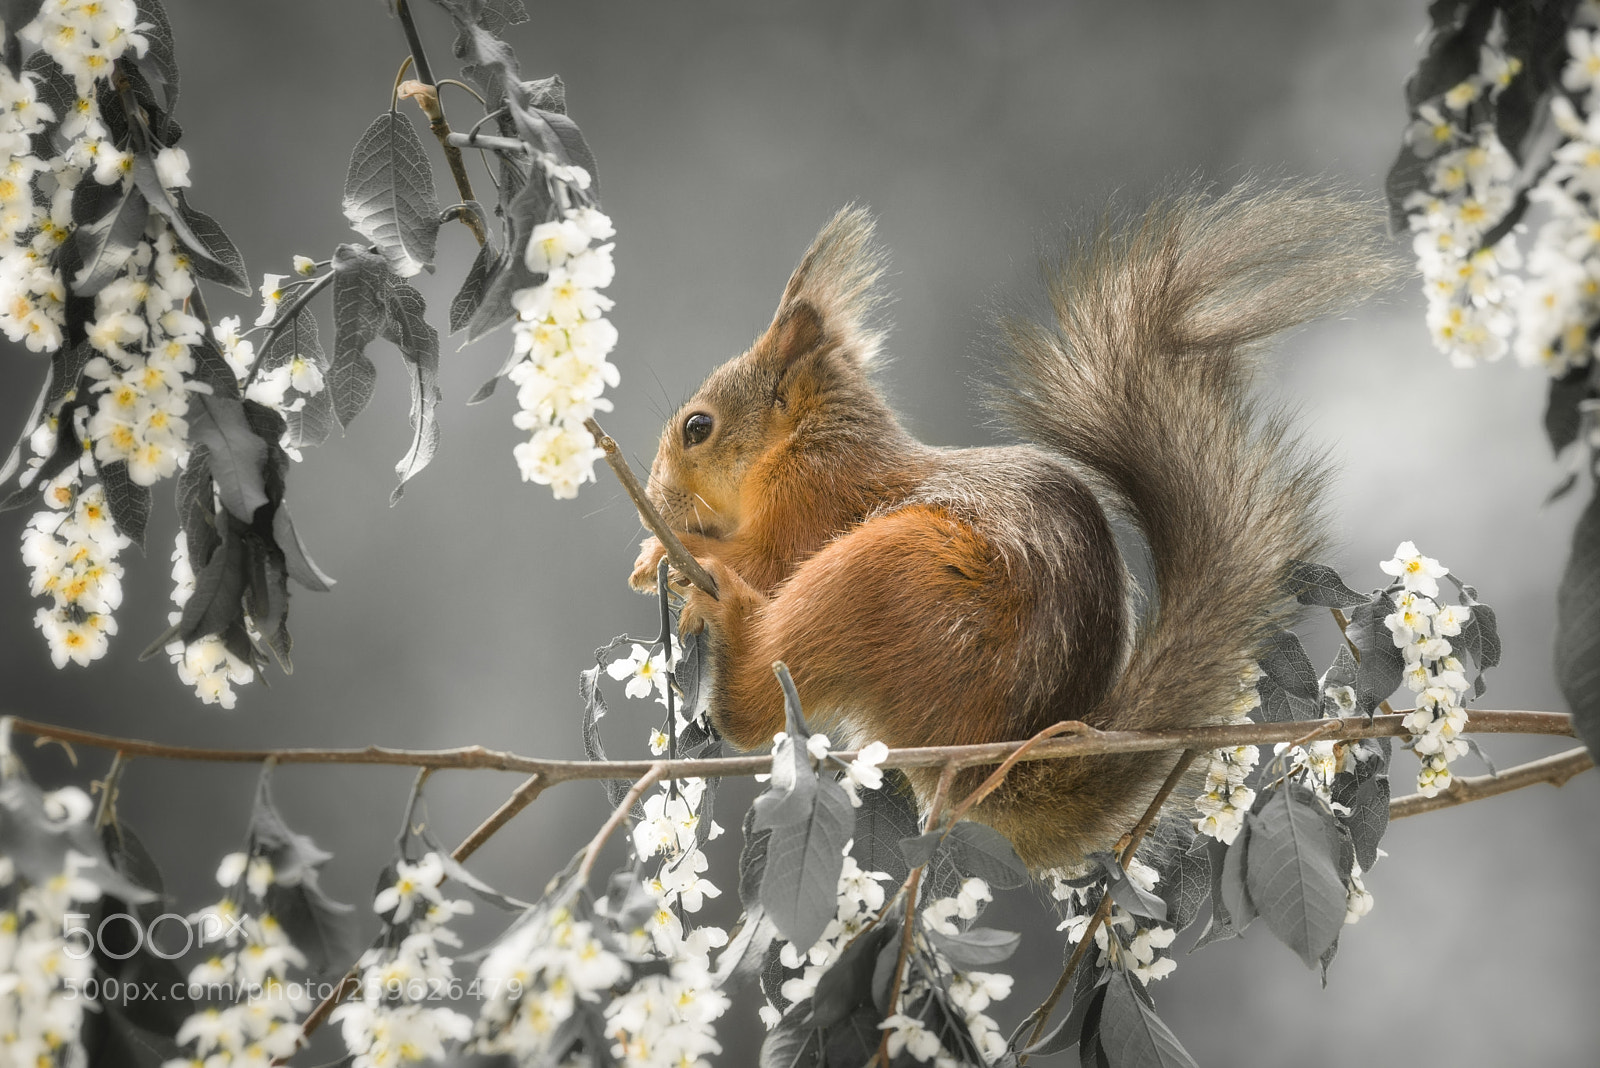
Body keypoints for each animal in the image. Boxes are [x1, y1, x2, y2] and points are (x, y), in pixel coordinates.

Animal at [627, 183, 1398, 870]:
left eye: (697, 427)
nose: (658, 494)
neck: (809, 439)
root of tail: (982, 763)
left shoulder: (815, 496)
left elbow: (769, 559)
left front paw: (670, 549)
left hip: (886, 576)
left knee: (757, 708)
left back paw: (726, 614)